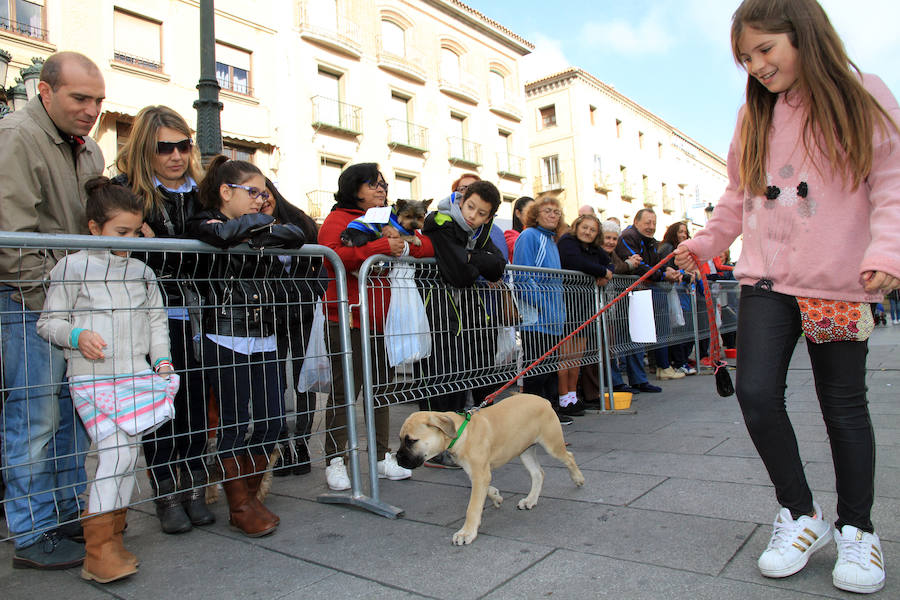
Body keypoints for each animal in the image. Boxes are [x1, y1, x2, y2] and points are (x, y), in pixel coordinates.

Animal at [400, 394, 584, 544]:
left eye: (412, 441)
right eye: (401, 439)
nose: (398, 460)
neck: (462, 432)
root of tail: (544, 401)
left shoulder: (480, 473)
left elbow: (473, 506)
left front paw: (466, 533)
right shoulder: (477, 472)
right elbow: (485, 490)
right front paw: (495, 496)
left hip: (551, 444)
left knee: (569, 457)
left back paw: (578, 478)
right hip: (524, 449)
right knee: (538, 473)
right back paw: (530, 500)